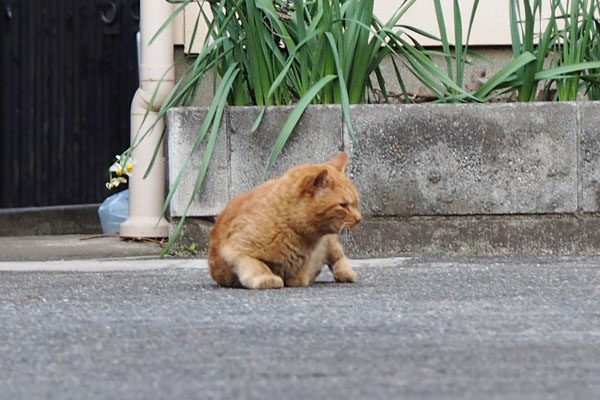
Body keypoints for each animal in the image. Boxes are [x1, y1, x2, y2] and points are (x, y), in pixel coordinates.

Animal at [210, 152, 360, 290]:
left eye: (355, 203)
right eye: (343, 205)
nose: (359, 219)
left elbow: (299, 276)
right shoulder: (235, 250)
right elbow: (258, 265)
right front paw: (267, 278)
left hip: (331, 244)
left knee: (338, 256)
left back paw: (345, 273)